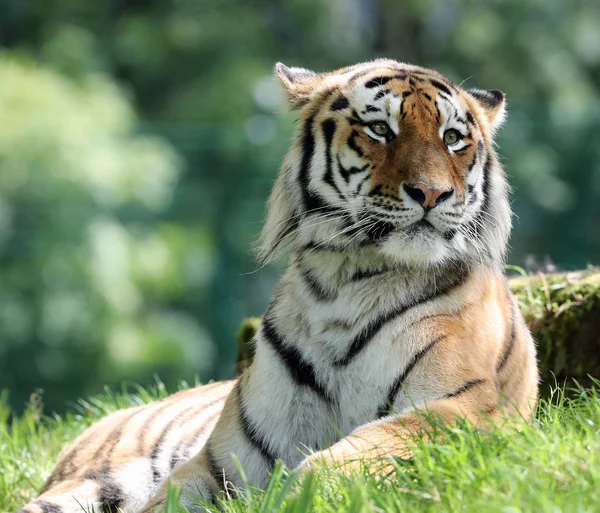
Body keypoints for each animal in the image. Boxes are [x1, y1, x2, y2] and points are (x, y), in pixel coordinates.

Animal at [17, 60, 540, 512]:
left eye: (452, 138)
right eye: (380, 130)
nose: (432, 193)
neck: (349, 280)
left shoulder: (464, 407)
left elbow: (347, 456)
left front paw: (295, 497)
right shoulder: (225, 456)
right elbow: (168, 500)